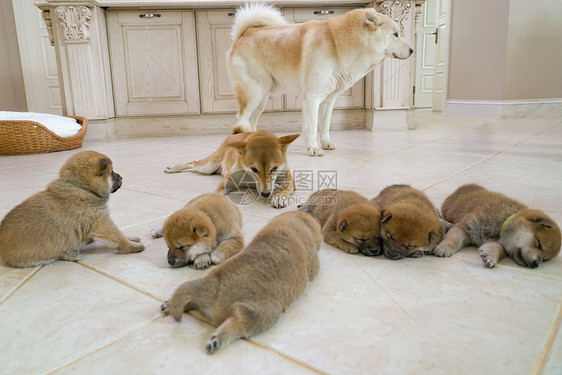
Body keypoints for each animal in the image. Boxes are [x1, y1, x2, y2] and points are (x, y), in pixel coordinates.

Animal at [1, 150, 144, 268]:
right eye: (112, 171)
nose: (121, 177)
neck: (83, 188)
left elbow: (120, 233)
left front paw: (131, 237)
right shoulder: (101, 222)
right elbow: (118, 236)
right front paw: (132, 246)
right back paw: (71, 254)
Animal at [161, 212, 320, 356]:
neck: (292, 224)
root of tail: (212, 289)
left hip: (204, 284)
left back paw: (168, 304)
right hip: (264, 312)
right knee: (238, 323)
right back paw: (216, 340)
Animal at [164, 131, 300, 210]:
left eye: (274, 168)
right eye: (254, 169)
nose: (266, 194)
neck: (249, 176)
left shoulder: (287, 178)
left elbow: (285, 188)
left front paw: (278, 197)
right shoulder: (228, 179)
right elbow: (218, 191)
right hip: (208, 166)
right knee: (194, 162)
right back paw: (173, 168)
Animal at [226, 3, 412, 156]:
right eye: (395, 34)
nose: (412, 51)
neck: (336, 45)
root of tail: (245, 34)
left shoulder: (328, 101)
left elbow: (325, 125)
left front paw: (326, 143)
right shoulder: (312, 98)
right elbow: (312, 126)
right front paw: (313, 148)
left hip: (262, 99)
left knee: (251, 121)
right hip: (254, 95)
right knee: (240, 121)